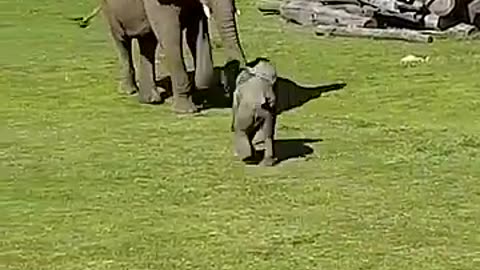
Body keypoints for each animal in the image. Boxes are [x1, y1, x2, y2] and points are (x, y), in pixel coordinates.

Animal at [101, 0, 244, 113]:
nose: (227, 87)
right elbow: (171, 38)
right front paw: (186, 111)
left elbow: (197, 36)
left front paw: (199, 88)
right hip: (109, 9)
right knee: (122, 41)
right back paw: (129, 91)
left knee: (147, 42)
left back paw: (149, 100)